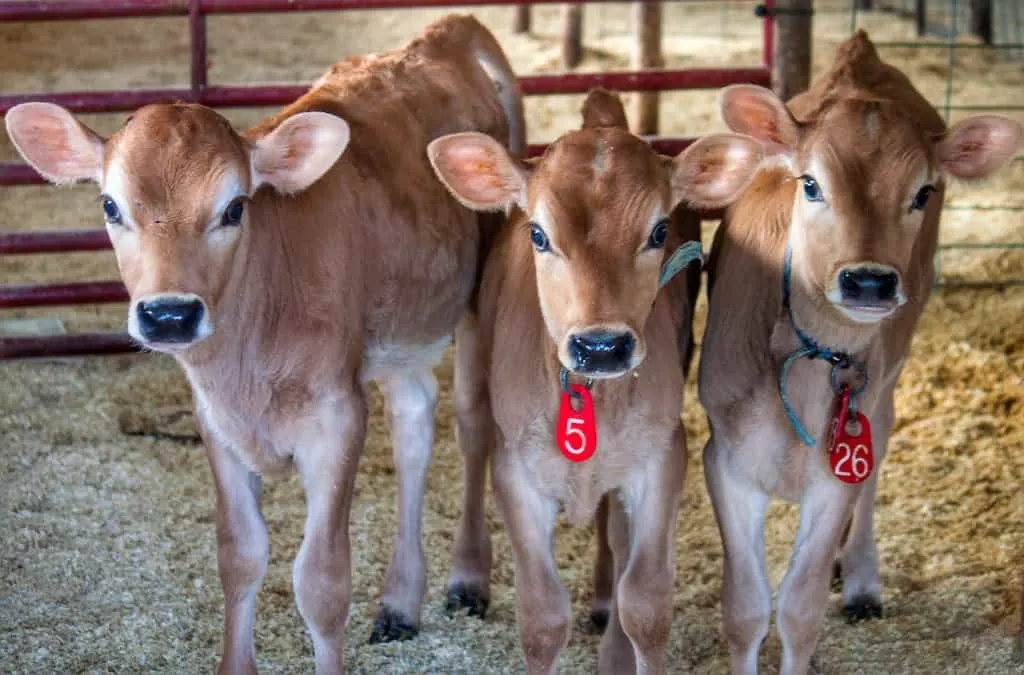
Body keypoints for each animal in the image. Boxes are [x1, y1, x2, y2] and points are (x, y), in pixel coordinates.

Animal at [4, 15, 524, 675]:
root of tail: (446, 29)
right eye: (110, 205)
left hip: (482, 289)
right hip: (400, 324)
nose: (169, 314)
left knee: (474, 422)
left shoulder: (337, 418)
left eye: (234, 208)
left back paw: (467, 579)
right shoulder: (217, 423)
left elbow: (321, 582)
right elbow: (239, 557)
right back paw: (401, 602)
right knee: (414, 416)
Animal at [428, 88, 765, 675]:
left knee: (616, 535)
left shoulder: (660, 457)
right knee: (471, 436)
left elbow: (647, 605)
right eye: (538, 234)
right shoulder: (517, 471)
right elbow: (542, 618)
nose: (602, 346)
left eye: (658, 231)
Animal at [700, 27, 1019, 675]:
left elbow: (798, 609)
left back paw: (861, 580)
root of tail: (860, 53)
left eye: (923, 192)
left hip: (888, 380)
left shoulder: (837, 474)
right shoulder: (725, 458)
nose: (869, 282)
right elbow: (745, 608)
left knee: (883, 442)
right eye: (810, 184)